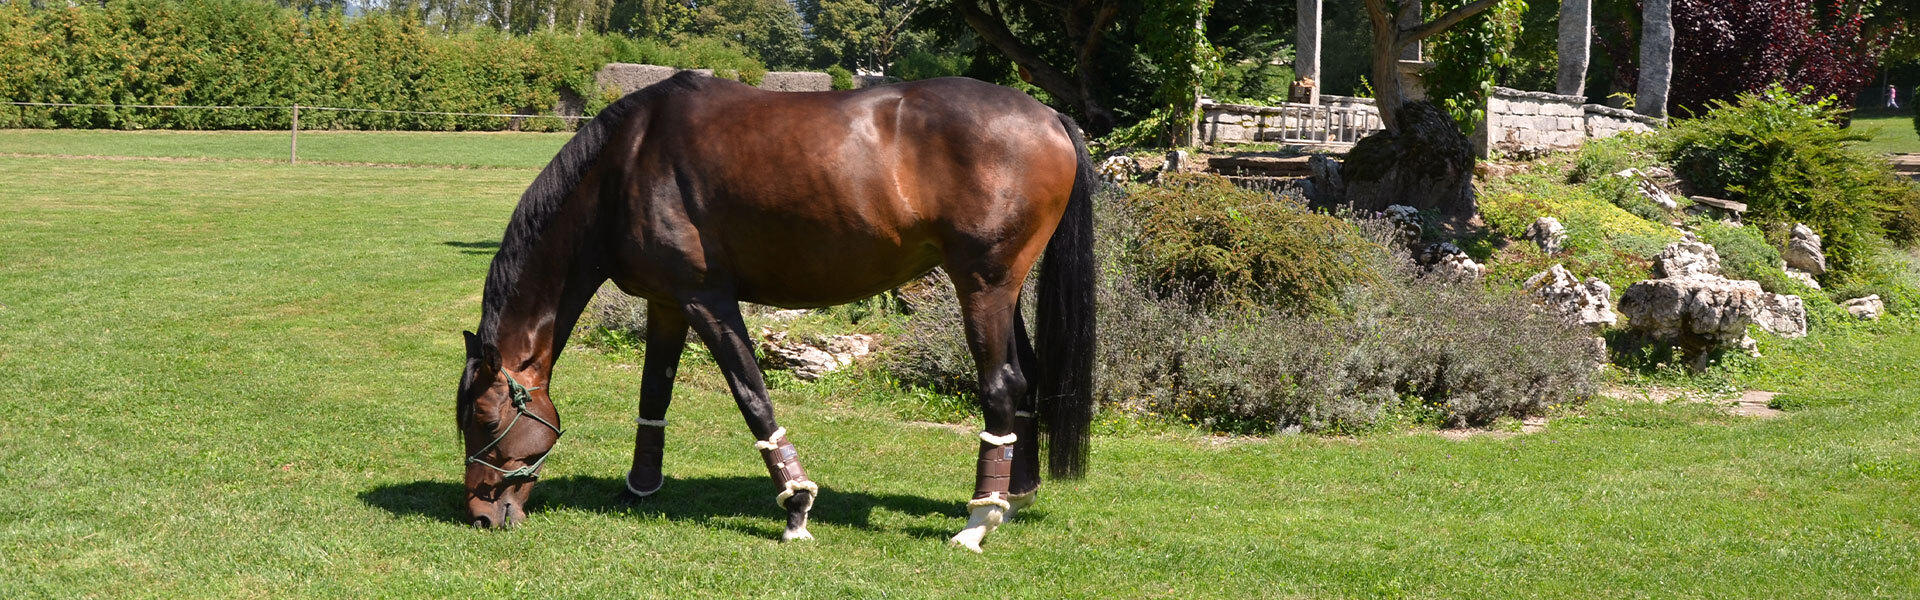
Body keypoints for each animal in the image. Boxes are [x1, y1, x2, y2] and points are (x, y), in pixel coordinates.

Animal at [449, 72, 1098, 550]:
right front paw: (640, 487)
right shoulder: (667, 303)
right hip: (1000, 291)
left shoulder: (707, 300)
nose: (480, 514)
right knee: (1025, 378)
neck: (625, 163)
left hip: (983, 286)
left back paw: (977, 521)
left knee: (1000, 384)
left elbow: (752, 395)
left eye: (483, 418)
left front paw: (796, 506)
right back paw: (1013, 496)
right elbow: (654, 393)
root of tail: (1050, 118)